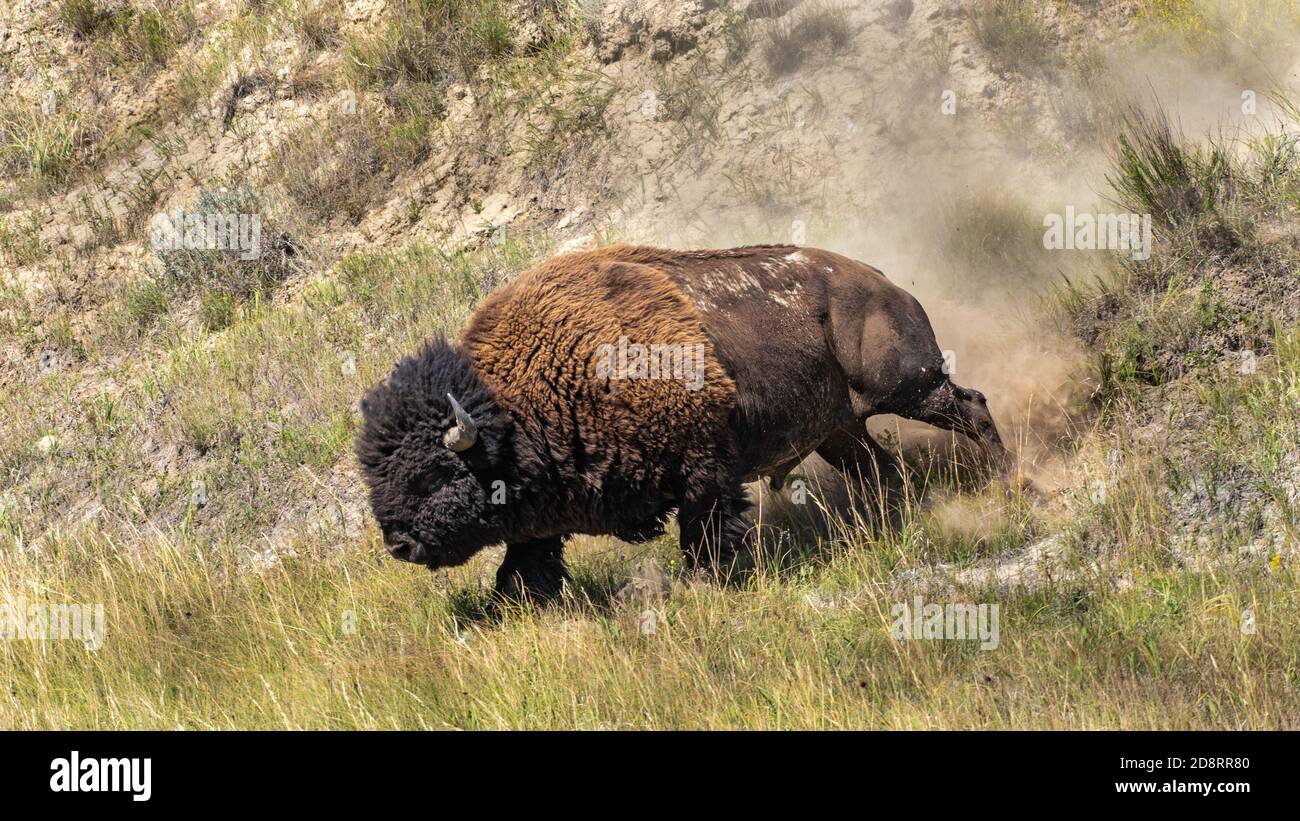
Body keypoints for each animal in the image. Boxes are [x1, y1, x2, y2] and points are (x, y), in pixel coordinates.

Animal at [361, 240, 1008, 600]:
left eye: (433, 476)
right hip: (838, 430)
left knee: (972, 407)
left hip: (911, 386)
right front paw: (508, 608)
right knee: (882, 468)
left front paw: (700, 583)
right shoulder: (544, 518)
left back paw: (1007, 481)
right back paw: (888, 521)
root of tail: (880, 280)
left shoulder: (705, 470)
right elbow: (526, 565)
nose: (398, 543)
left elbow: (704, 533)